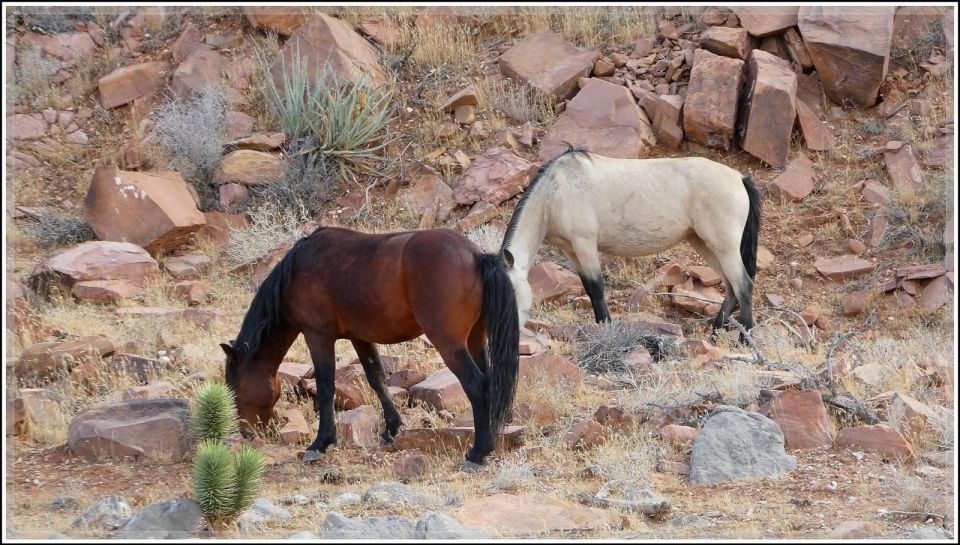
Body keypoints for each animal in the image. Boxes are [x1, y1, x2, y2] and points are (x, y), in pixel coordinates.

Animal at [221, 223, 520, 466]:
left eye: (234, 390)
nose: (248, 433)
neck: (295, 273)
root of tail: (476, 256)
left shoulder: (317, 336)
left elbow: (326, 387)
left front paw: (321, 442)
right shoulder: (360, 337)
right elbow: (376, 378)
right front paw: (392, 428)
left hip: (450, 343)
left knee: (476, 384)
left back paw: (478, 452)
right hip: (475, 339)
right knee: (489, 382)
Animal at [498, 147, 760, 338]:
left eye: (512, 294)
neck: (556, 192)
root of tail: (739, 178)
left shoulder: (585, 245)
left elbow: (597, 289)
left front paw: (607, 331)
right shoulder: (572, 250)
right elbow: (590, 289)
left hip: (723, 246)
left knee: (743, 285)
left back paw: (743, 340)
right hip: (703, 243)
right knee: (731, 288)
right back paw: (715, 334)